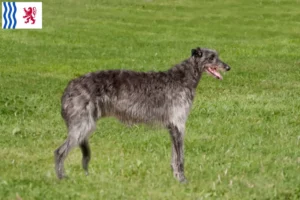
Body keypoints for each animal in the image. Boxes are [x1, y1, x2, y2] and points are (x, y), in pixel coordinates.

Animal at [55, 47, 231, 183]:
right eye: (211, 57)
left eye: (217, 55)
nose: (228, 67)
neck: (184, 78)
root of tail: (69, 87)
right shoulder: (178, 124)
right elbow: (180, 157)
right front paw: (182, 180)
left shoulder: (173, 127)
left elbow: (174, 157)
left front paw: (175, 177)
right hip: (83, 125)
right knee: (59, 152)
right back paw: (61, 178)